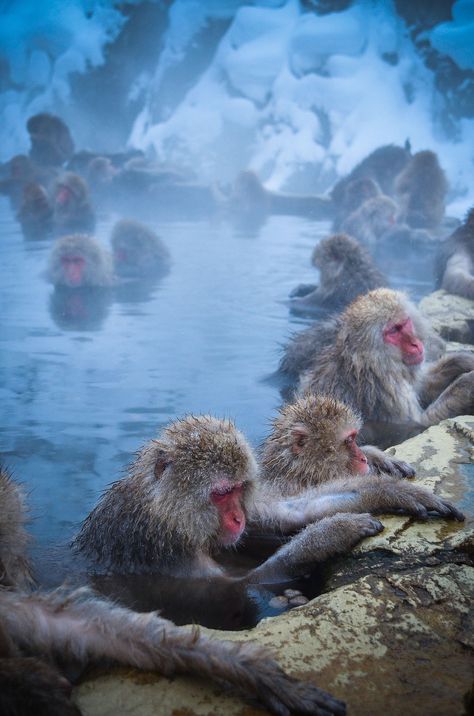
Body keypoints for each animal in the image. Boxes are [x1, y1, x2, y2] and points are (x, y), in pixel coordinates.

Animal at [0, 464, 344, 716]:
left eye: (238, 490)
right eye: (222, 494)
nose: (238, 517)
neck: (171, 516)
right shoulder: (166, 551)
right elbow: (231, 586)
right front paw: (327, 537)